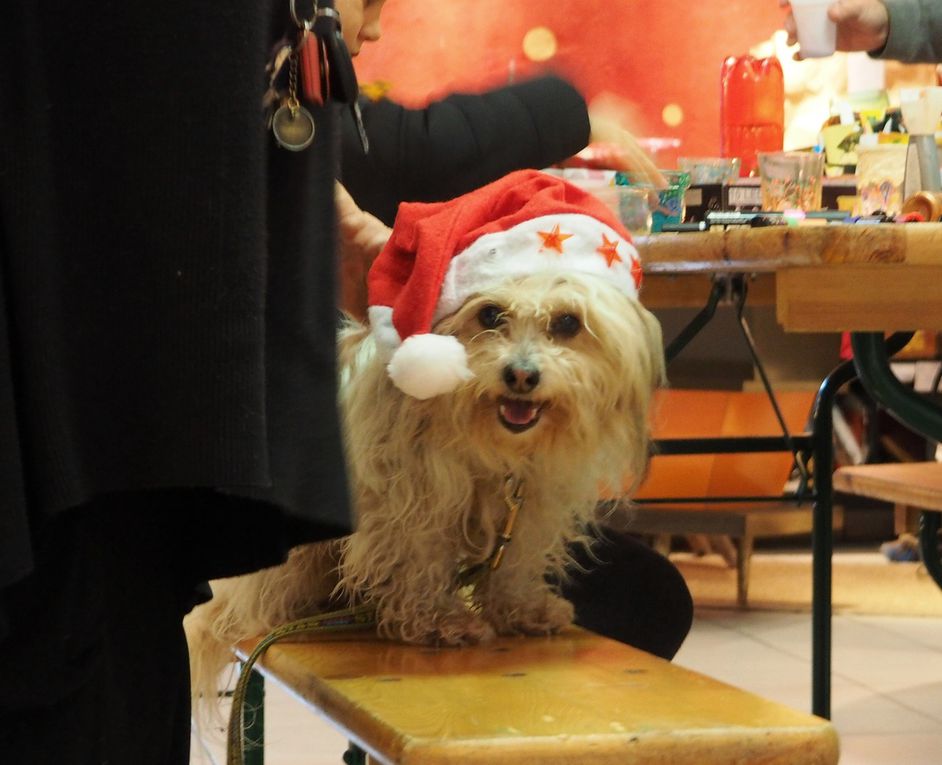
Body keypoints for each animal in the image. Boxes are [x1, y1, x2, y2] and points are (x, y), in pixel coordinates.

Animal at [186, 172, 664, 704]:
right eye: (490, 315)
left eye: (567, 323)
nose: (520, 375)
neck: (488, 444)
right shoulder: (411, 498)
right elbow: (421, 555)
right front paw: (437, 620)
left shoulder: (531, 502)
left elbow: (515, 559)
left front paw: (521, 608)